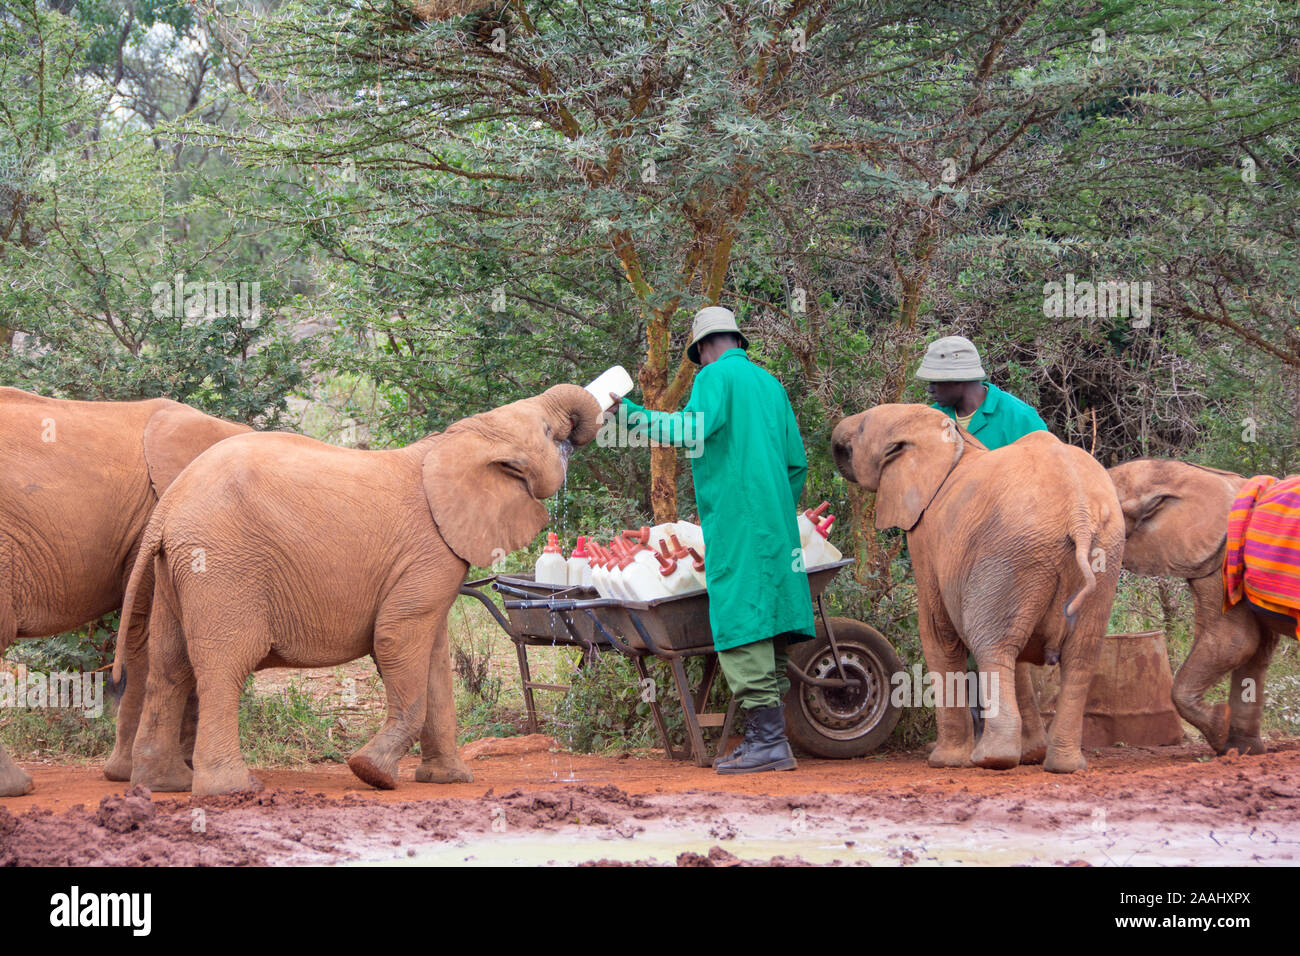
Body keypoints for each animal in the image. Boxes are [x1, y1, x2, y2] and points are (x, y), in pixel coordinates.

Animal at [114, 385, 600, 796]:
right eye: (548, 431)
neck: (455, 439)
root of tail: (168, 508)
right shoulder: (429, 552)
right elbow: (397, 640)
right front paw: (371, 773)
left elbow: (434, 660)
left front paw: (449, 780)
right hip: (222, 565)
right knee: (223, 665)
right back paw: (231, 790)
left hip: (175, 571)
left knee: (168, 666)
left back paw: (163, 785)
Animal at [832, 408, 1128, 775]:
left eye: (861, 428)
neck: (950, 440)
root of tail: (1079, 513)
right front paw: (1031, 753)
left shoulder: (925, 535)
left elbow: (937, 630)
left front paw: (943, 761)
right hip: (1103, 555)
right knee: (1078, 654)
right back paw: (1062, 764)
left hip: (1011, 551)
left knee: (991, 644)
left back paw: (991, 759)